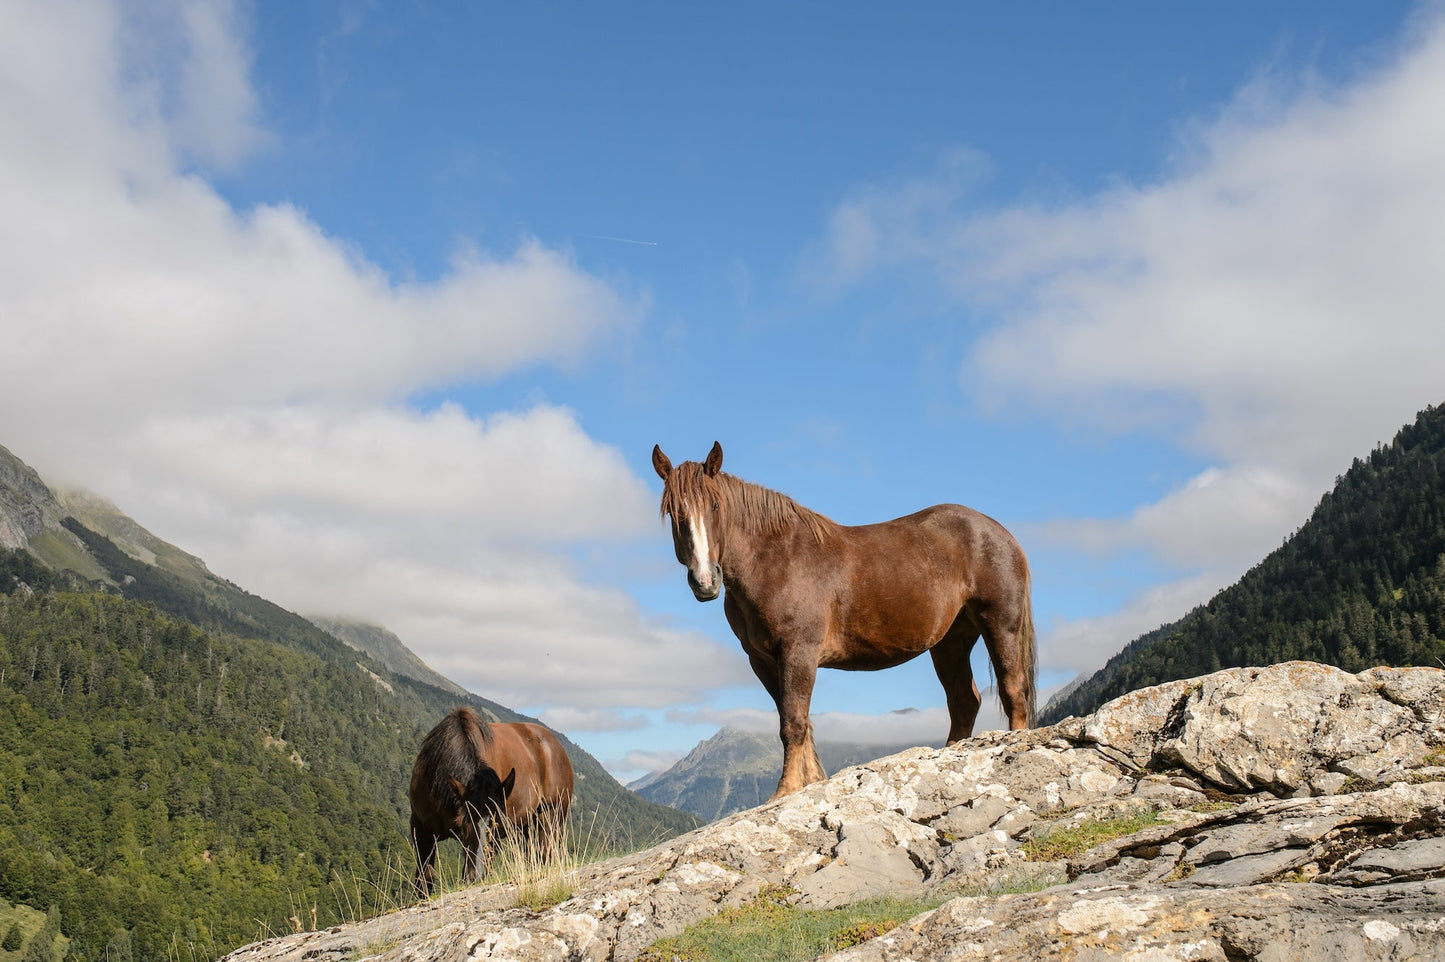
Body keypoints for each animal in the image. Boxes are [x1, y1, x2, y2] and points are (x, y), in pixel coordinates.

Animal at [410, 702, 572, 895]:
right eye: (463, 827)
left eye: (497, 827)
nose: (476, 877)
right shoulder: (421, 829)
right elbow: (424, 879)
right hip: (524, 827)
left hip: (550, 816)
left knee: (545, 852)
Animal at [650, 439, 1034, 791]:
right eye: (673, 513)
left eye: (716, 506)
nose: (705, 581)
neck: (775, 560)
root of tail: (999, 532)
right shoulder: (762, 661)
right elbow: (797, 722)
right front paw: (806, 783)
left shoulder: (798, 653)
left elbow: (793, 722)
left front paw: (786, 790)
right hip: (950, 641)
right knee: (964, 700)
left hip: (1000, 625)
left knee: (1012, 688)